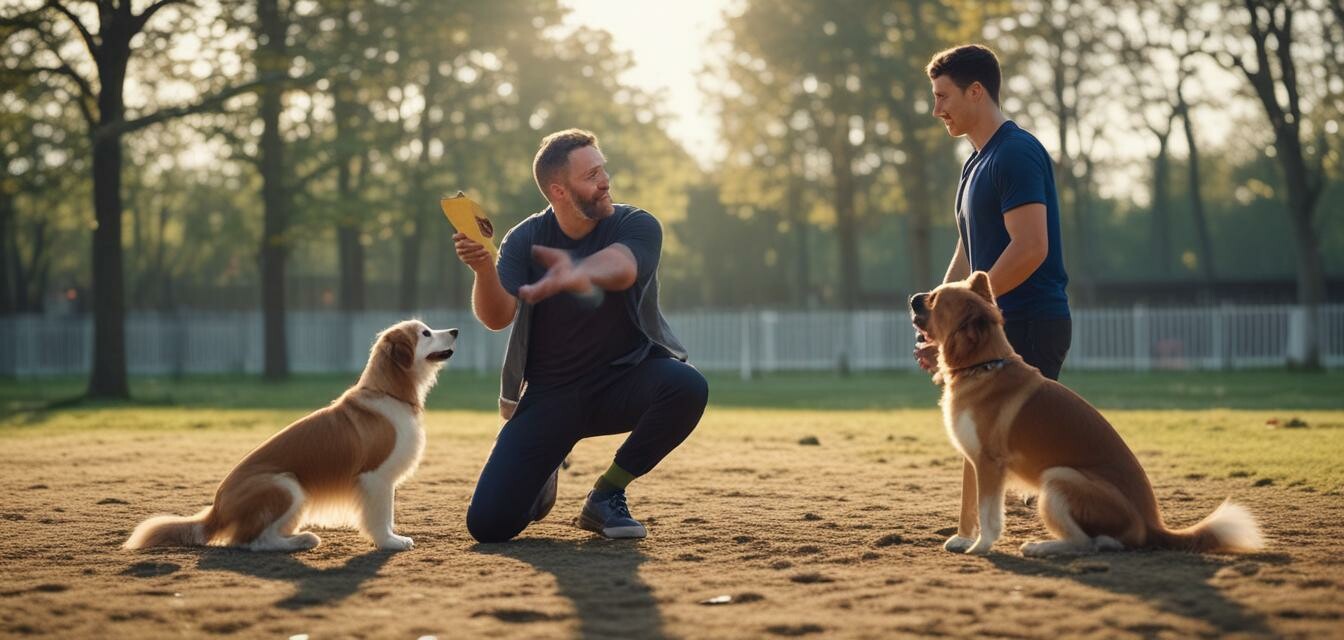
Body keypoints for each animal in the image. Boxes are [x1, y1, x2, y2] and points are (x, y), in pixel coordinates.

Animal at [123, 322, 456, 551]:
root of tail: (214, 511)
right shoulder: (376, 478)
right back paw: (302, 540)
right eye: (425, 333)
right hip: (286, 486)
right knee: (250, 541)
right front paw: (390, 542)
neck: (389, 392)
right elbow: (382, 516)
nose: (454, 330)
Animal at [908, 272, 1263, 556]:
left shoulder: (990, 463)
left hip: (1058, 479)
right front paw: (963, 539)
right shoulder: (973, 461)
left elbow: (989, 514)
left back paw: (1043, 546)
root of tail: (1152, 526)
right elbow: (969, 504)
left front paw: (980, 547)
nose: (912, 298)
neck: (983, 366)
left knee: (1086, 543)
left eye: (935, 299)